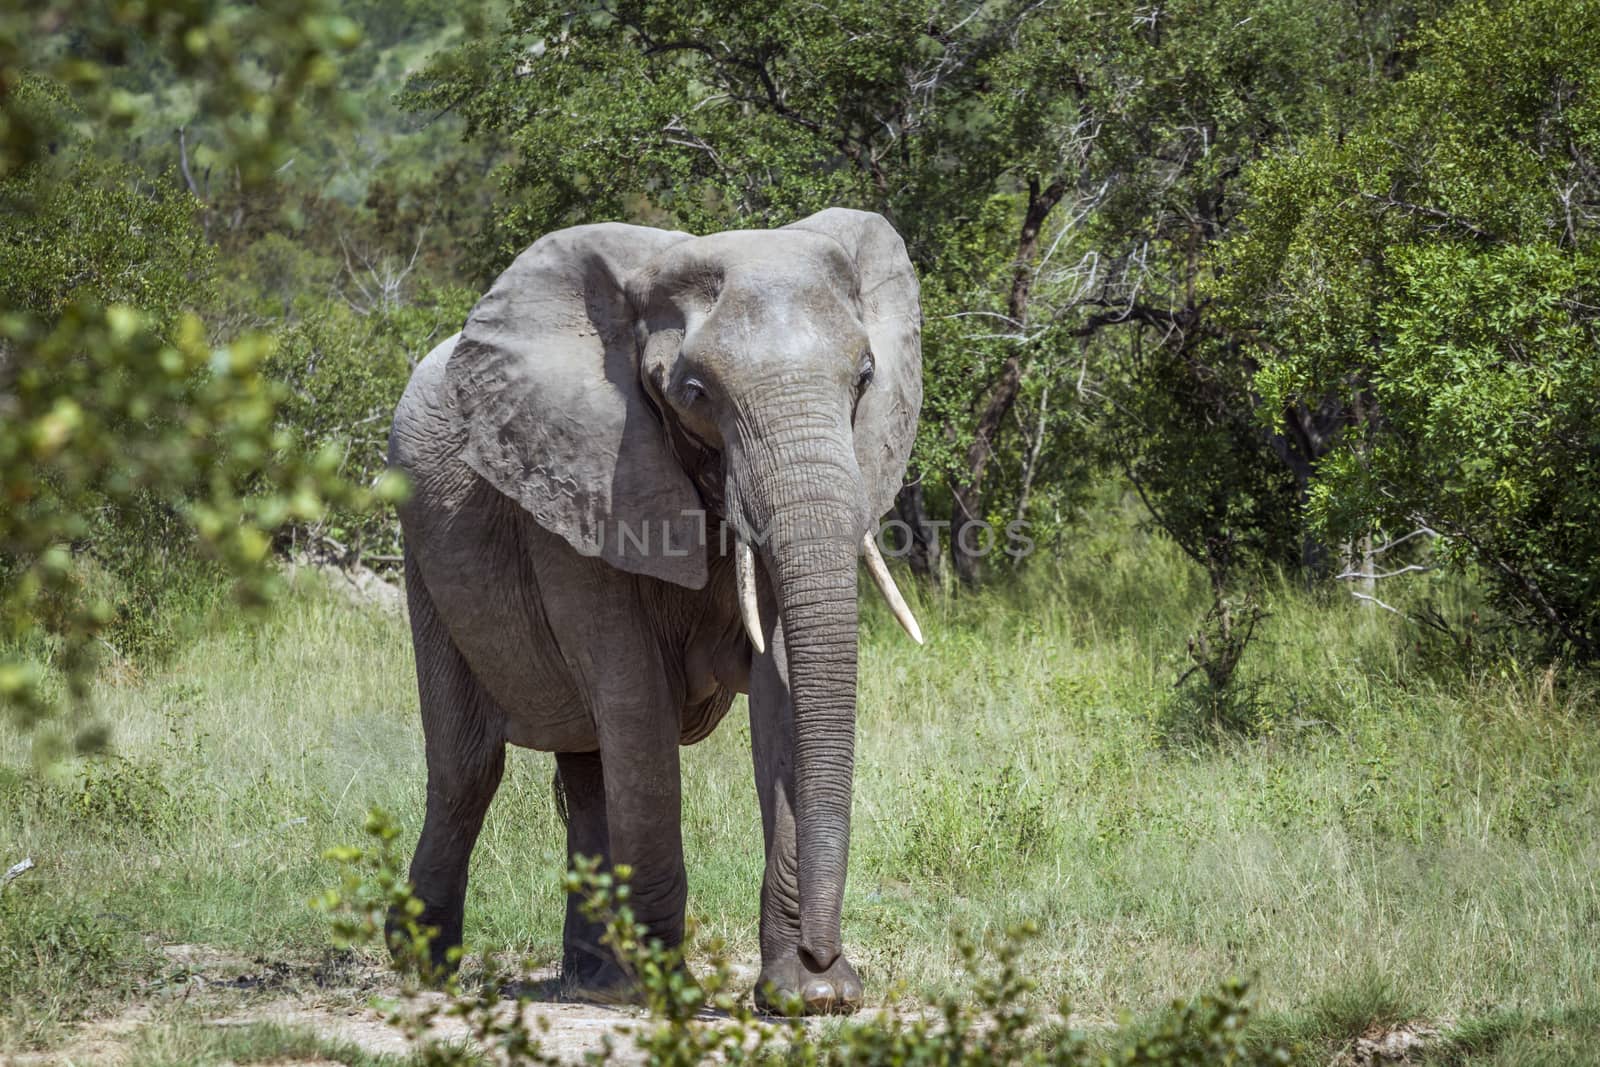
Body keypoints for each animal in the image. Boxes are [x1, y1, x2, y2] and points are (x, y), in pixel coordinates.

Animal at [385, 204, 928, 1017]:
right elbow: (636, 701)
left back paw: (593, 978)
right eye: (694, 392)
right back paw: (426, 965)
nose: (825, 956)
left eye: (864, 377)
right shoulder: (580, 486)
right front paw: (663, 990)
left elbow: (785, 694)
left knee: (586, 767)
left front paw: (803, 997)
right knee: (468, 766)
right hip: (422, 550)